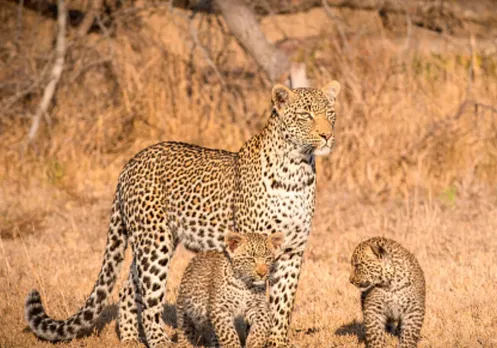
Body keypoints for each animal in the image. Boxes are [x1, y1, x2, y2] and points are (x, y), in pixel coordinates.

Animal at [24, 80, 340, 346]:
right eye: (305, 115)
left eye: (330, 113)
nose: (327, 135)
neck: (297, 171)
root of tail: (130, 163)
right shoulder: (252, 244)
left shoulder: (291, 250)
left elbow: (283, 303)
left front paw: (277, 340)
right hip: (155, 245)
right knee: (149, 298)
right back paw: (159, 340)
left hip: (152, 242)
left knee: (129, 287)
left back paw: (130, 338)